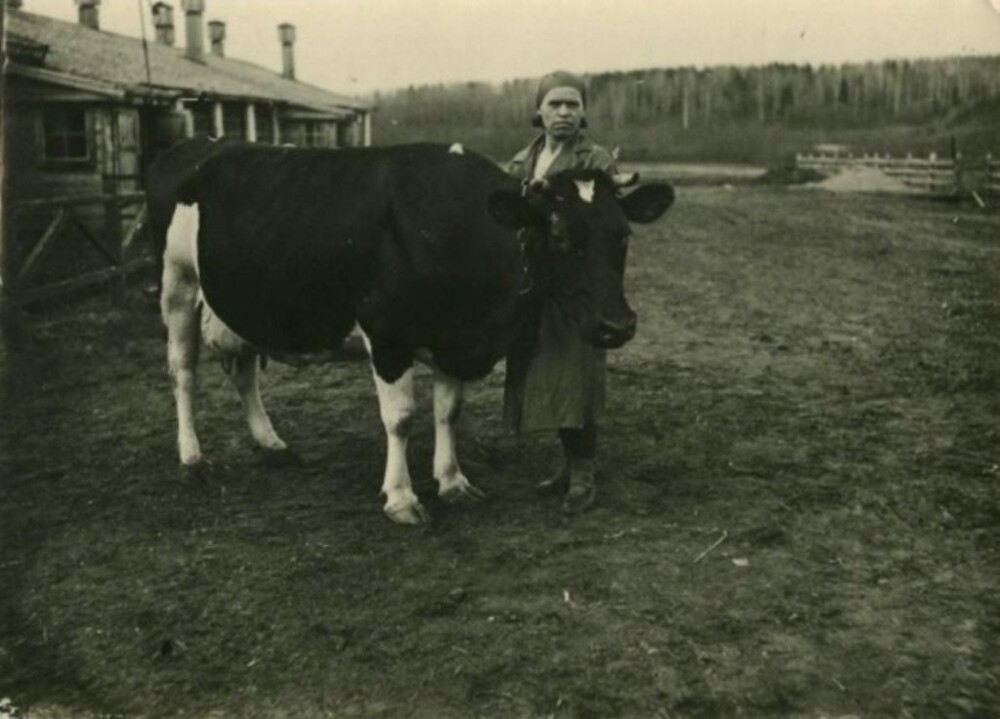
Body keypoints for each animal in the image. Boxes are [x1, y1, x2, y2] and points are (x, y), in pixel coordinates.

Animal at [152, 139, 676, 524]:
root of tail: (200, 145)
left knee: (243, 370)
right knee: (183, 372)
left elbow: (448, 411)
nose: (617, 325)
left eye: (623, 236)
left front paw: (452, 482)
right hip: (176, 283)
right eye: (560, 236)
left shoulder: (455, 340)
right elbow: (401, 418)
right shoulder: (386, 332)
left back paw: (271, 443)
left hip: (237, 301)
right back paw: (192, 459)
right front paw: (401, 498)